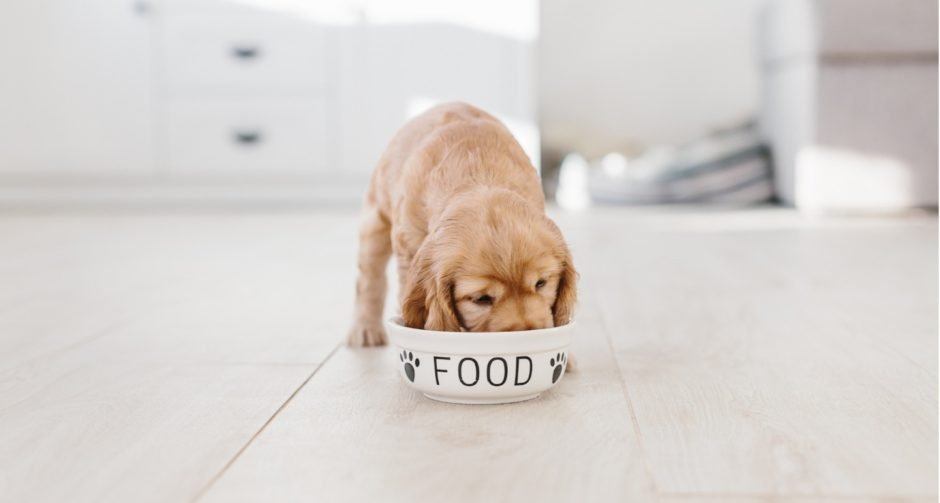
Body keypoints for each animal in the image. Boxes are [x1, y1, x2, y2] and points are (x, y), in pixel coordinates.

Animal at [348, 101, 576, 348]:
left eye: (541, 283)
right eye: (481, 299)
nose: (527, 333)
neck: (479, 175)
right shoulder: (408, 251)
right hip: (375, 221)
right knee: (369, 279)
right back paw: (365, 328)